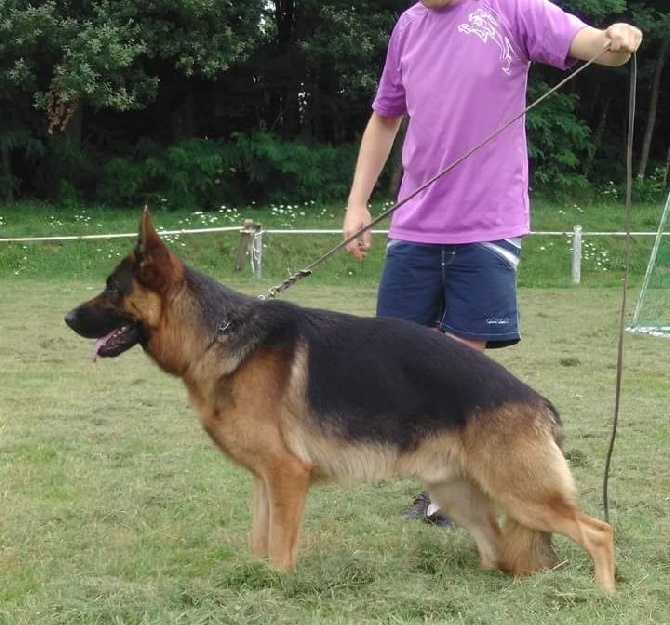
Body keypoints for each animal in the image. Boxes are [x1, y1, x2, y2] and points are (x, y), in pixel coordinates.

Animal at [65, 208, 616, 588]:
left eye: (111, 289)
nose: (67, 318)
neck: (218, 335)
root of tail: (540, 402)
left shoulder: (288, 476)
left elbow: (280, 548)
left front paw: (277, 589)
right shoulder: (265, 480)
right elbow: (259, 541)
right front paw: (255, 581)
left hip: (522, 493)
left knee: (598, 531)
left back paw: (603, 596)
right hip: (459, 495)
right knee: (499, 550)